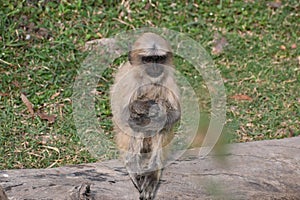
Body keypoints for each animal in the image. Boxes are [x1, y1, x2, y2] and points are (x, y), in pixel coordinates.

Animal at [110, 32, 180, 199]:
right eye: (148, 59)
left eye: (158, 59)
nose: (154, 67)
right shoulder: (129, 79)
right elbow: (123, 114)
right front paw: (145, 108)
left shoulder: (169, 77)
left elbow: (175, 114)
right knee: (136, 122)